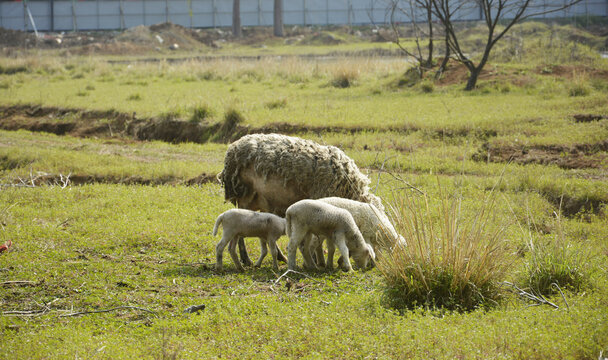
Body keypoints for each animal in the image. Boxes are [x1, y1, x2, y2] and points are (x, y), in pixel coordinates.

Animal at [216, 134, 382, 266]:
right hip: (244, 195)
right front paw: (316, 260)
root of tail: (234, 146)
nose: (375, 263)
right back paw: (246, 259)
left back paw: (279, 257)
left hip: (262, 200)